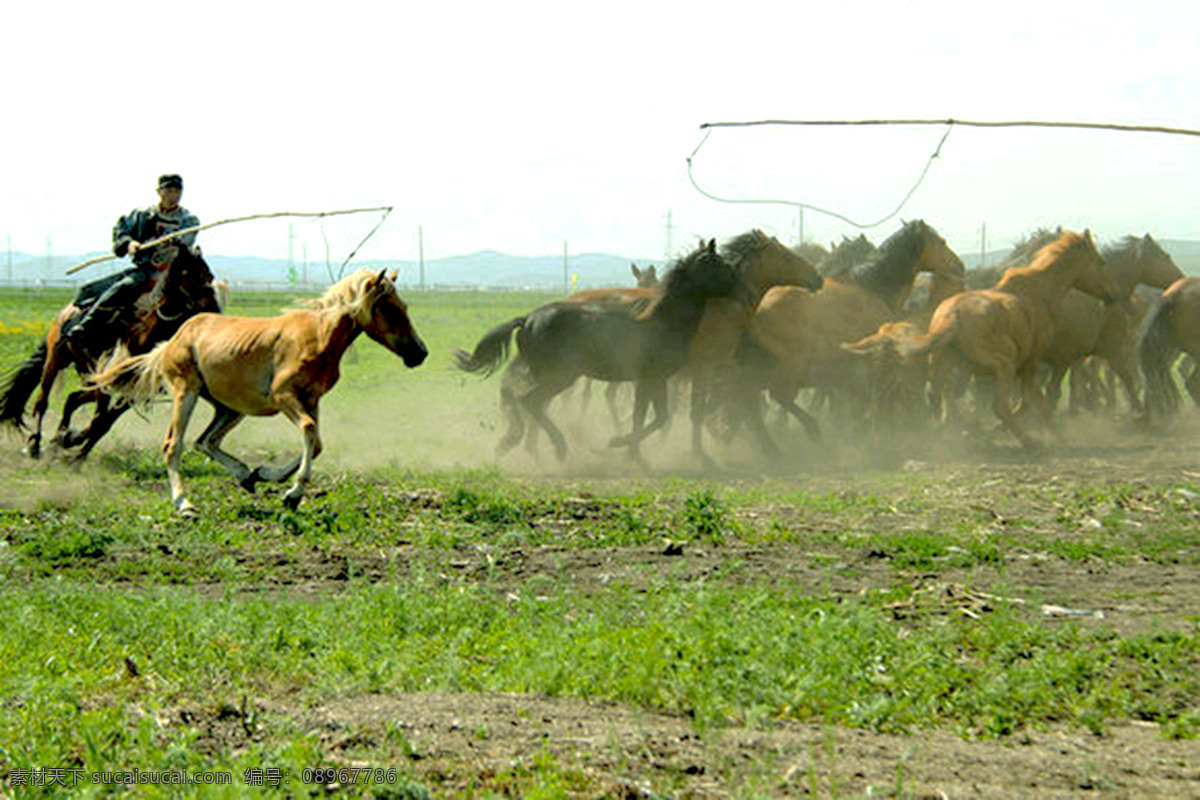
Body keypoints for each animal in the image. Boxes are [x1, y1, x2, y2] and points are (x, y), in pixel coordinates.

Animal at [0, 244, 221, 462]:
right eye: (190, 273)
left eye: (209, 275)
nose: (215, 309)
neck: (145, 332)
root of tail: (66, 312)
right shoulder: (106, 380)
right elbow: (99, 420)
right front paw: (72, 448)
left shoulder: (133, 389)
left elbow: (104, 423)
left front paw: (71, 444)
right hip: (55, 360)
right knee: (42, 402)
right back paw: (35, 444)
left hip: (87, 375)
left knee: (72, 399)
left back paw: (56, 442)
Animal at [86, 268, 427, 514]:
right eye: (389, 308)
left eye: (404, 306)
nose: (419, 353)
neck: (318, 337)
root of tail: (173, 339)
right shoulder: (285, 397)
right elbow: (308, 431)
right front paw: (292, 493)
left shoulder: (311, 399)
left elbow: (316, 443)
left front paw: (267, 476)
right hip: (187, 392)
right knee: (174, 445)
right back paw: (185, 503)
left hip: (230, 408)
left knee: (205, 441)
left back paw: (245, 475)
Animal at [453, 239, 756, 464]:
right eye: (723, 267)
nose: (750, 294)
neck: (664, 322)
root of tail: (527, 319)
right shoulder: (654, 378)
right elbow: (656, 418)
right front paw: (618, 442)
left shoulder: (647, 380)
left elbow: (645, 416)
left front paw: (635, 456)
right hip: (561, 376)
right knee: (530, 402)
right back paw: (556, 448)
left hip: (549, 376)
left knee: (526, 403)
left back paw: (518, 445)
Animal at [892, 230, 1117, 449]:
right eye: (1101, 261)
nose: (1112, 295)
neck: (1038, 293)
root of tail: (953, 314)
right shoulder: (1030, 361)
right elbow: (1030, 400)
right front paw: (1055, 435)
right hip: (1004, 365)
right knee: (998, 406)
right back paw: (1027, 440)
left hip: (945, 366)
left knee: (938, 398)